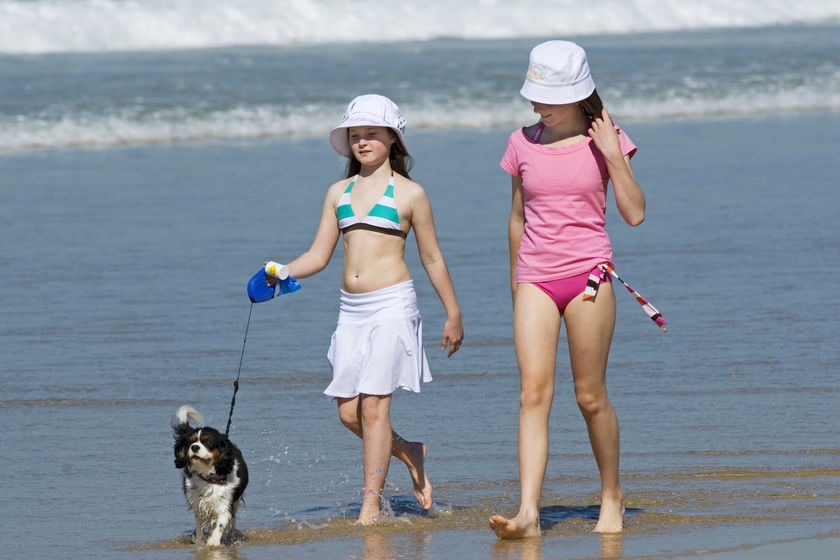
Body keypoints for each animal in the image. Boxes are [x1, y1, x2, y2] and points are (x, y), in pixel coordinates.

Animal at [171, 404, 248, 544]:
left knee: (233, 519)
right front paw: (199, 542)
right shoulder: (198, 504)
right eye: (190, 442)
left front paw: (213, 543)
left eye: (208, 442)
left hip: (235, 501)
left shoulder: (224, 505)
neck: (208, 477)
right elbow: (200, 525)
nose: (194, 447)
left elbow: (221, 523)